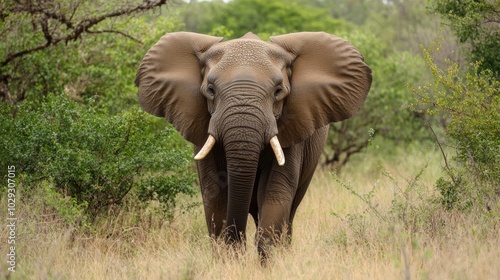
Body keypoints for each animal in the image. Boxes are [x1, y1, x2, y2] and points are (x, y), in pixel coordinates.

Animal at [136, 31, 372, 258]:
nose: (238, 244)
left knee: (289, 210)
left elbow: (274, 192)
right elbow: (215, 194)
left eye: (278, 91)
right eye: (210, 90)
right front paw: (228, 258)